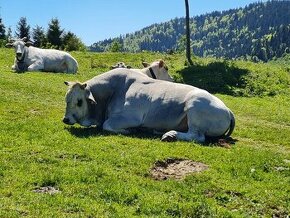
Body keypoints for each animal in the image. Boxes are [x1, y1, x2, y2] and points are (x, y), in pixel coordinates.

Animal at [62, 68, 234, 143]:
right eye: (66, 99)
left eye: (79, 101)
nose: (66, 119)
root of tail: (227, 110)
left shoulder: (130, 117)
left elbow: (107, 125)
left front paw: (130, 130)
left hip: (195, 108)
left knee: (197, 136)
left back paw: (170, 135)